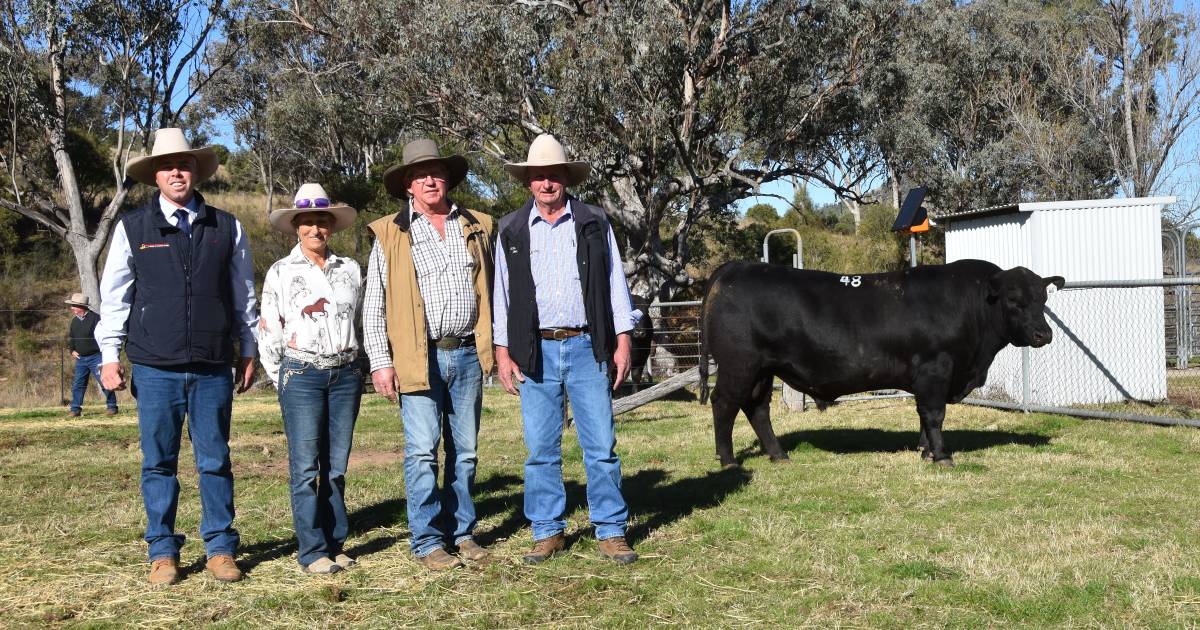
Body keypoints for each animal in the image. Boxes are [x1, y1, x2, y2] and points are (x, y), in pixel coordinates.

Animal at [700, 259, 1065, 465]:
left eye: (1043, 298)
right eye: (1014, 300)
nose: (1044, 334)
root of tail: (737, 267)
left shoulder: (929, 377)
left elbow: (923, 416)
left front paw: (926, 451)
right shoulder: (936, 368)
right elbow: (934, 414)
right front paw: (942, 456)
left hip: (763, 370)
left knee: (757, 408)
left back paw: (778, 455)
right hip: (739, 365)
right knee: (724, 404)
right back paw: (728, 460)